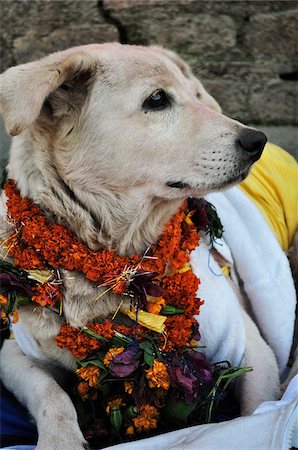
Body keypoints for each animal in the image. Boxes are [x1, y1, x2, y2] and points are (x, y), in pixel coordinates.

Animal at [0, 43, 294, 450]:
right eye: (156, 99)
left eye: (197, 94)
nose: (257, 141)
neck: (120, 262)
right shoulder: (15, 352)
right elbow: (51, 394)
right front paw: (60, 441)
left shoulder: (253, 350)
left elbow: (254, 414)